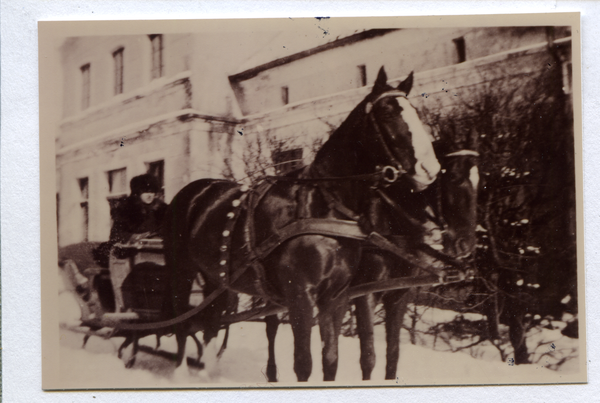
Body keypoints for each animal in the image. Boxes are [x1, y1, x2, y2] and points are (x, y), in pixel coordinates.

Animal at [162, 67, 442, 382]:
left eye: (415, 111)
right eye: (387, 112)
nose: (430, 169)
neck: (324, 205)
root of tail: (193, 191)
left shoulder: (337, 296)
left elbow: (330, 359)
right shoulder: (301, 295)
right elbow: (304, 363)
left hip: (215, 277)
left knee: (211, 320)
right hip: (181, 270)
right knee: (182, 321)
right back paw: (181, 372)